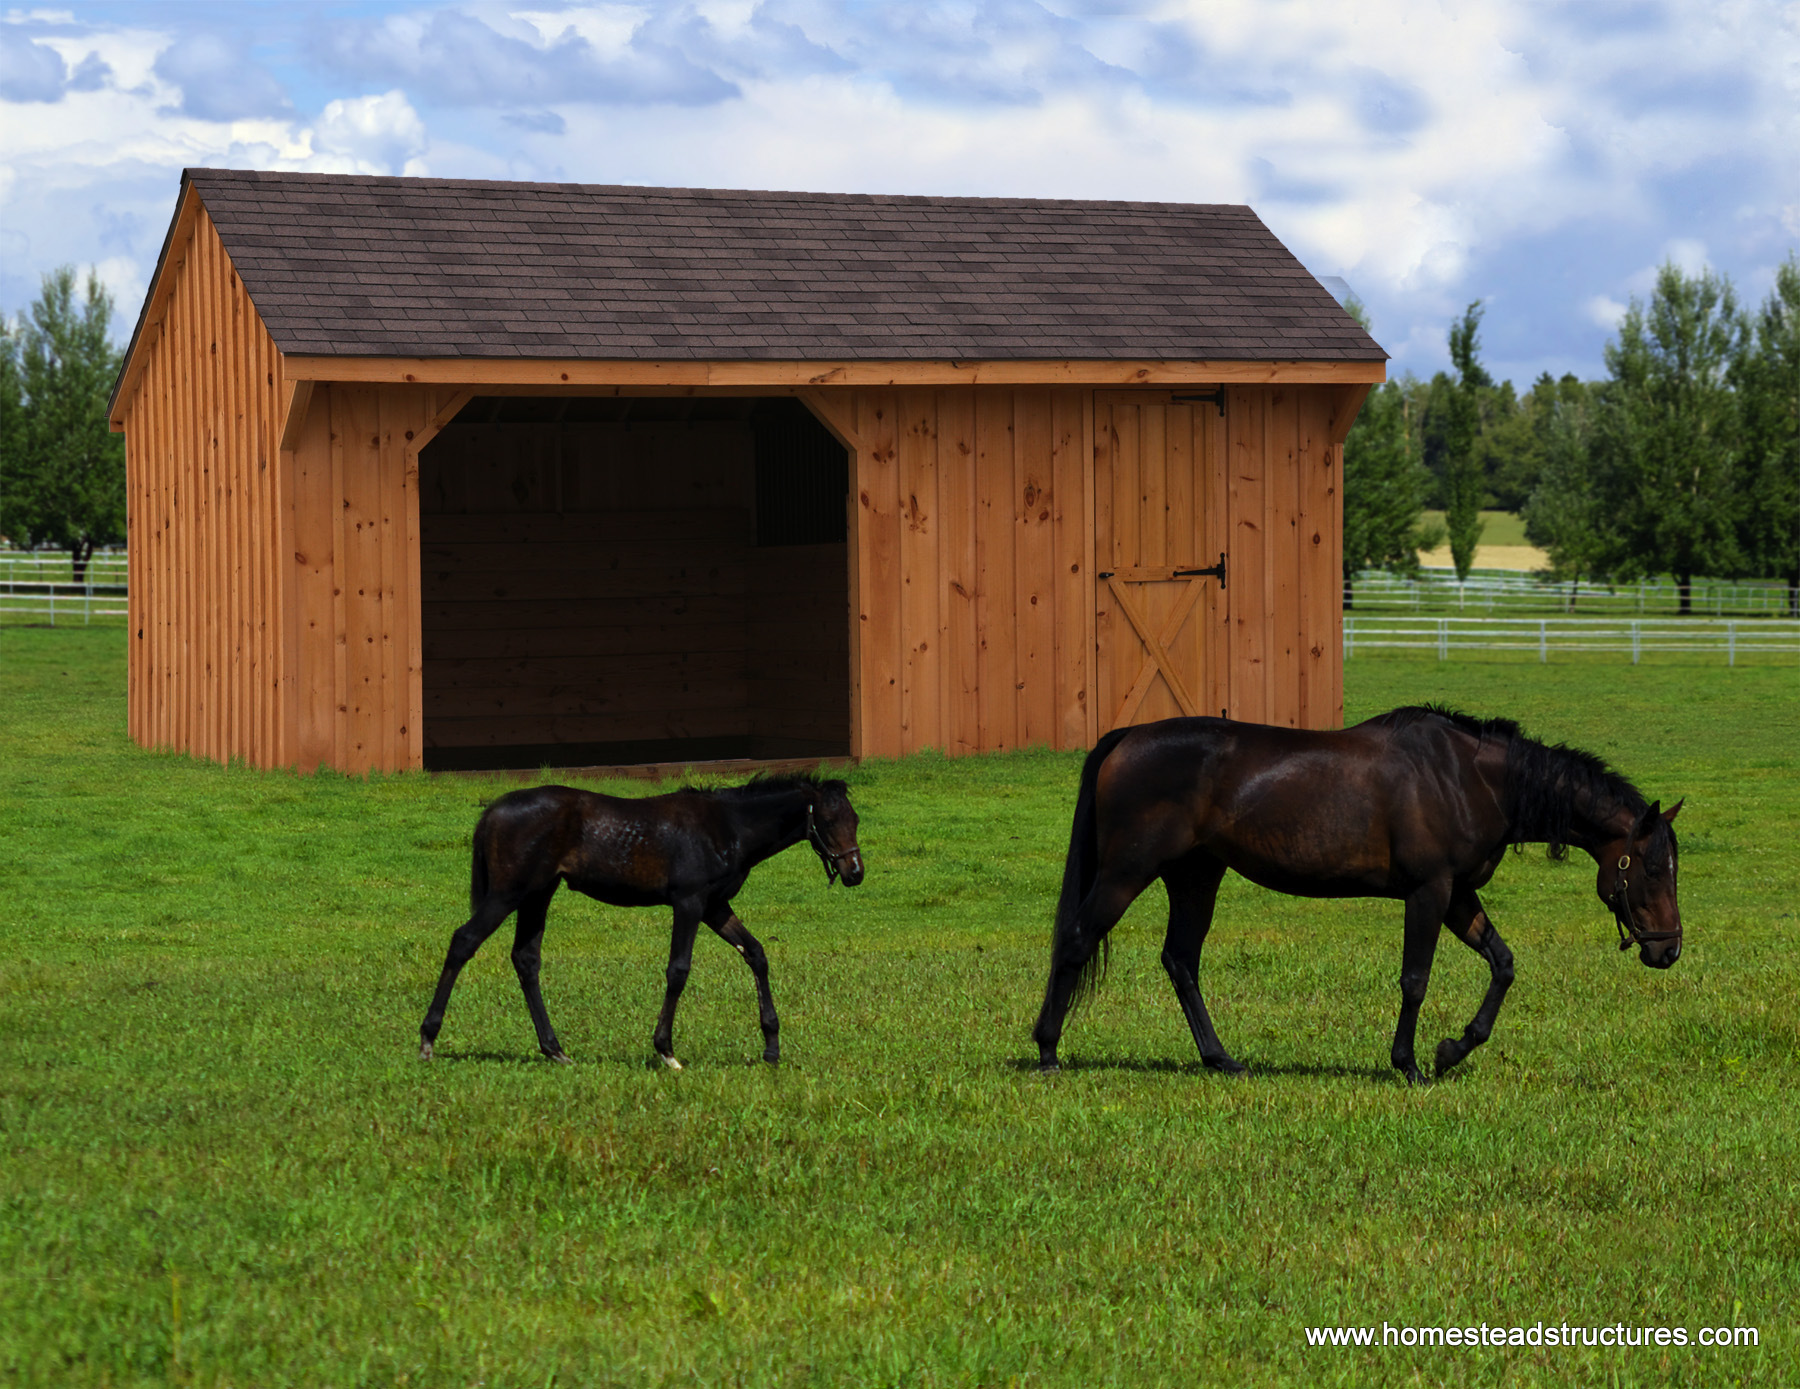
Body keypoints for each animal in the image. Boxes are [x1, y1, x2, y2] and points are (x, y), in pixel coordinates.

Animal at [424, 777, 867, 1072]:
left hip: (539, 893)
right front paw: (666, 1050)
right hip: (508, 894)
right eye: (828, 819)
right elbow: (679, 970)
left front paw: (771, 1047)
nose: (855, 872)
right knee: (464, 941)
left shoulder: (716, 906)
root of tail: (493, 810)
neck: (728, 825)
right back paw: (428, 1038)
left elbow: (756, 954)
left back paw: (555, 1049)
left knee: (526, 958)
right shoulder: (689, 902)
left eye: (856, 818)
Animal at [1036, 705, 1677, 1086]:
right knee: (1077, 940)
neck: (1468, 779)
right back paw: (1046, 1051)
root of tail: (1128, 737)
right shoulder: (1429, 892)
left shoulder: (1458, 895)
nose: (1667, 949)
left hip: (1196, 876)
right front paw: (1409, 1064)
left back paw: (1220, 1058)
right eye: (1649, 866)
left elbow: (1503, 965)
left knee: (1181, 960)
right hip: (1128, 870)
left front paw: (1453, 1049)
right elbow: (1415, 979)